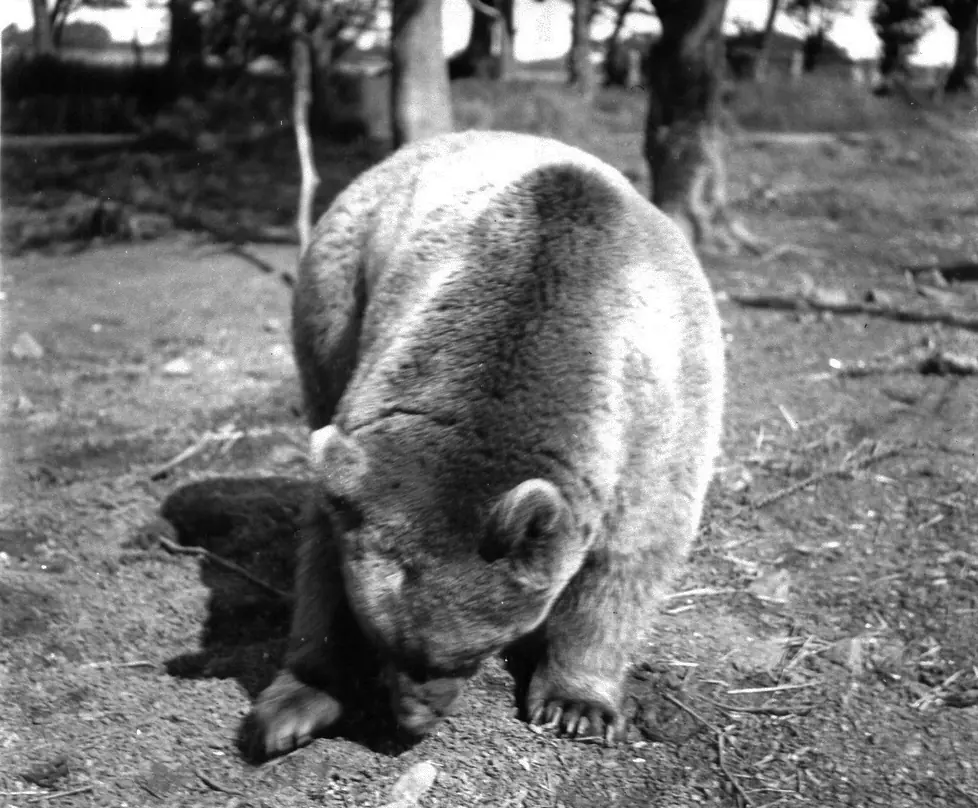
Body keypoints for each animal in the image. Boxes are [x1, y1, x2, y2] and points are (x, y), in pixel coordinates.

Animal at [252, 130, 725, 758]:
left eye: (468, 653)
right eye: (389, 642)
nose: (414, 721)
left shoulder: (661, 409)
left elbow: (630, 554)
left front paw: (578, 705)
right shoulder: (366, 412)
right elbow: (324, 545)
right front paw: (294, 705)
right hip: (334, 293)